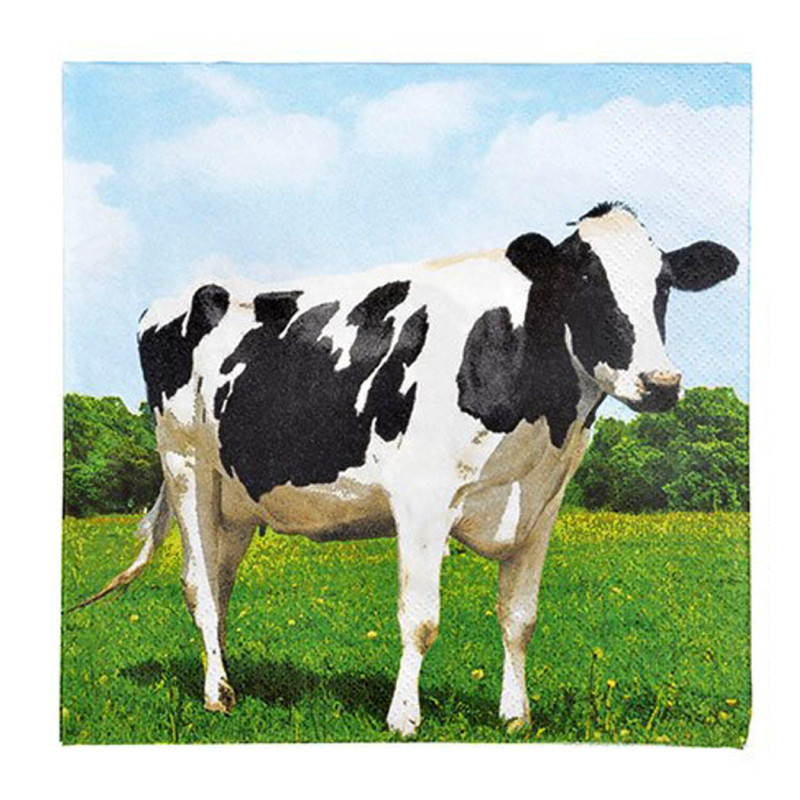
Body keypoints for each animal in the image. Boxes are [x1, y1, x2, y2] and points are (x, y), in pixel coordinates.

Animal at [69, 201, 738, 736]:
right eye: (586, 281)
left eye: (663, 285)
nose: (661, 382)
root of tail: (176, 297)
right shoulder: (422, 498)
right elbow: (420, 619)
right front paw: (404, 718)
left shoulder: (540, 506)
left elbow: (520, 619)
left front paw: (516, 716)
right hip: (186, 466)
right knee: (199, 586)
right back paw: (216, 695)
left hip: (235, 500)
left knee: (220, 581)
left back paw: (229, 678)